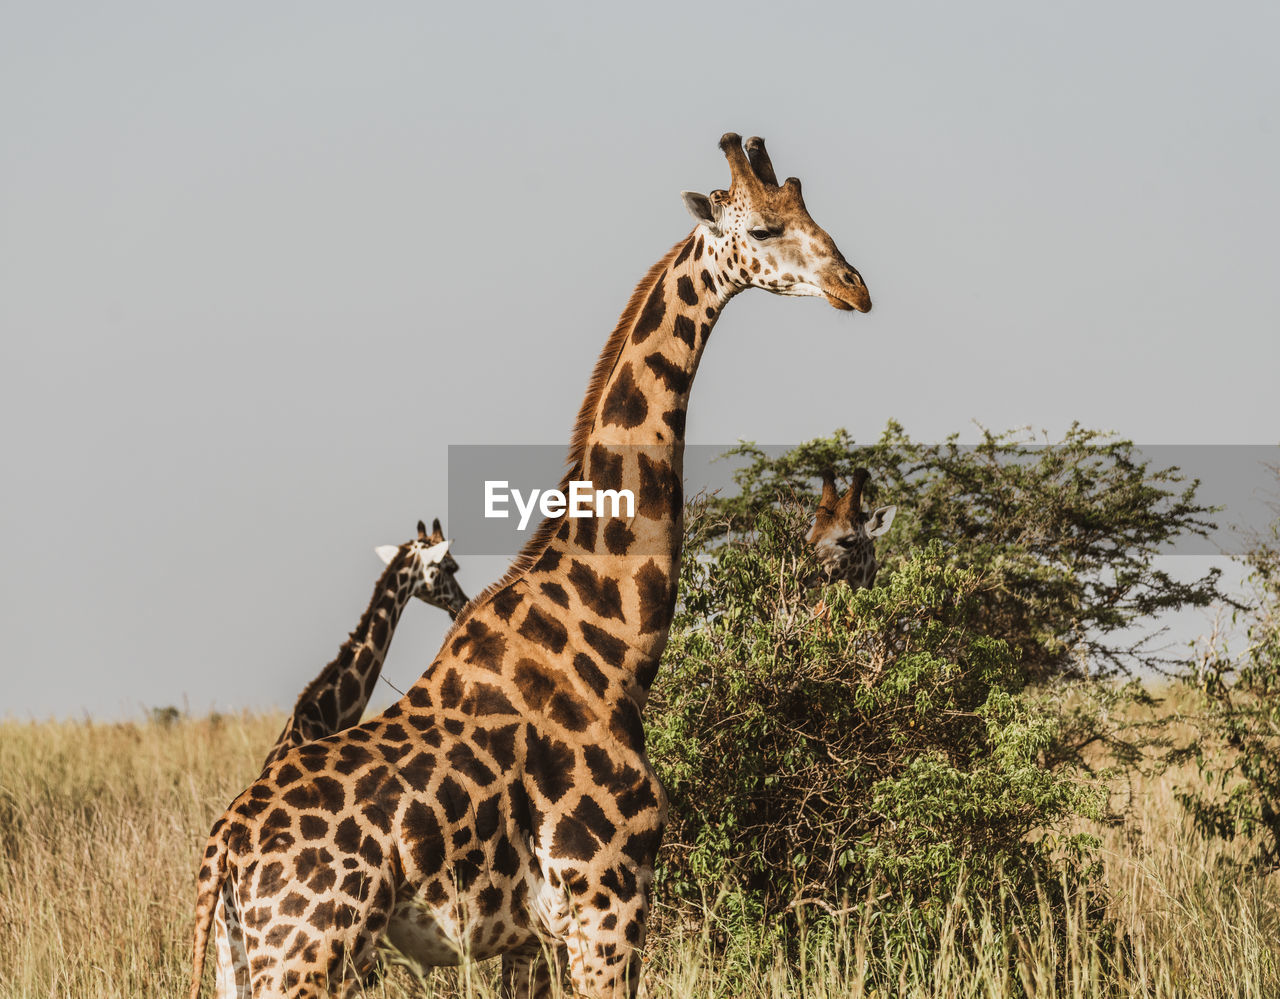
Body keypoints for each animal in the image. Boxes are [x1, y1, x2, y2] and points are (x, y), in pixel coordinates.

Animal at [186, 132, 870, 999]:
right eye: (764, 229)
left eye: (811, 212)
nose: (855, 288)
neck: (613, 641)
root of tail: (224, 856)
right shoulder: (609, 902)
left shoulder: (530, 937)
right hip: (307, 955)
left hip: (248, 961)